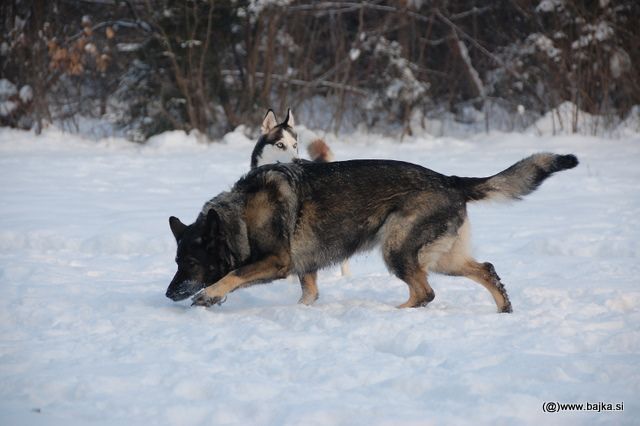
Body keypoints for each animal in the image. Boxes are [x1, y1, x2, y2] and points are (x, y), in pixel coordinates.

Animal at [168, 120, 576, 312]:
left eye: (190, 262)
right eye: (177, 261)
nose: (169, 293)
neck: (241, 213)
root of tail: (450, 180)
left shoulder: (276, 261)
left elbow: (234, 275)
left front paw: (209, 296)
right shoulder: (305, 268)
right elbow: (308, 294)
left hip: (397, 249)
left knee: (425, 292)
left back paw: (396, 312)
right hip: (442, 258)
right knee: (486, 270)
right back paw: (504, 309)